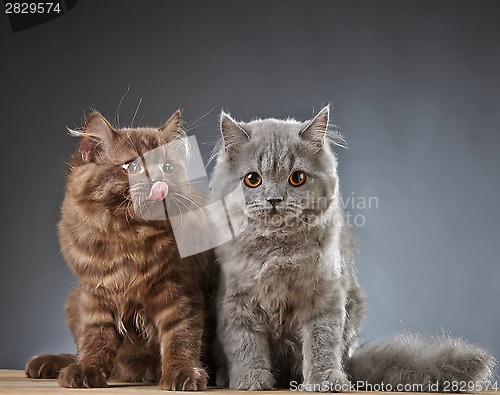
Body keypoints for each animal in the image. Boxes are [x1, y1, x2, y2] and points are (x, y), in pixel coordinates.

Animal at [25, 110, 216, 392]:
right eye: (131, 167)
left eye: (167, 168)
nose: (159, 181)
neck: (129, 240)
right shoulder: (95, 295)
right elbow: (96, 339)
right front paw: (88, 370)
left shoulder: (179, 289)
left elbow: (181, 336)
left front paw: (182, 373)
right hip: (74, 300)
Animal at [208, 106, 496, 392]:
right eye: (252, 179)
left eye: (297, 178)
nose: (274, 199)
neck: (277, 249)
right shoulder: (236, 300)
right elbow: (245, 343)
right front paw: (250, 380)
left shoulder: (324, 294)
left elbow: (322, 342)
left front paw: (325, 380)